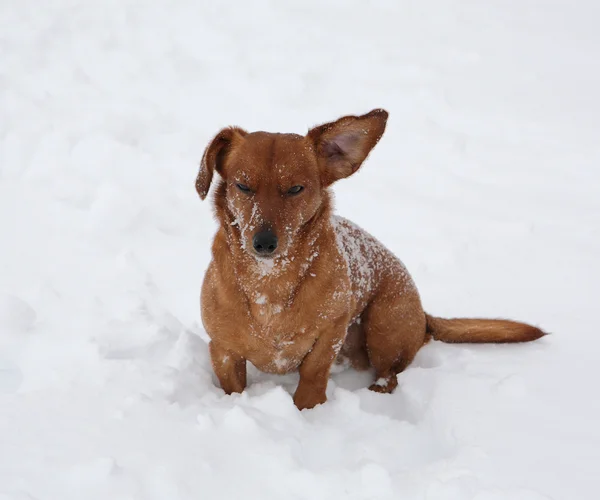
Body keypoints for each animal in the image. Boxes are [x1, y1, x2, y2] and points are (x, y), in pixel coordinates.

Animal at [196, 109, 544, 410]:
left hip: (383, 326)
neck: (270, 282)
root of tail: (424, 316)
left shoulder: (331, 333)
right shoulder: (222, 350)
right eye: (242, 186)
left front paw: (308, 412)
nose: (264, 243)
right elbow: (233, 387)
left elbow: (312, 375)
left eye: (295, 189)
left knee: (390, 373)